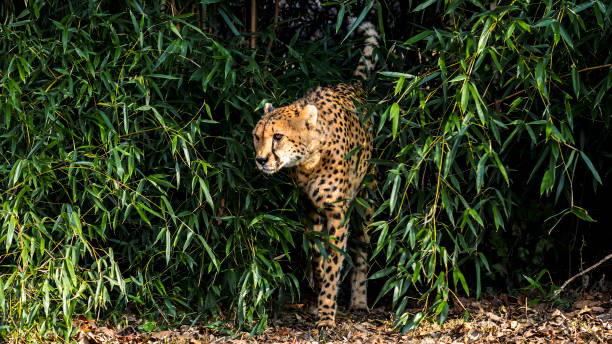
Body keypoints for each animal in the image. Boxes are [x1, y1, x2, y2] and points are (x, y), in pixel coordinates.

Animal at [252, 21, 378, 328]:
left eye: (278, 137)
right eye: (256, 136)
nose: (261, 160)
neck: (309, 160)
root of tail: (353, 84)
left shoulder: (337, 210)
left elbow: (334, 262)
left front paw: (326, 314)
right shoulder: (308, 206)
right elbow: (317, 256)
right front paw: (316, 297)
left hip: (366, 195)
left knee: (361, 248)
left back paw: (358, 301)